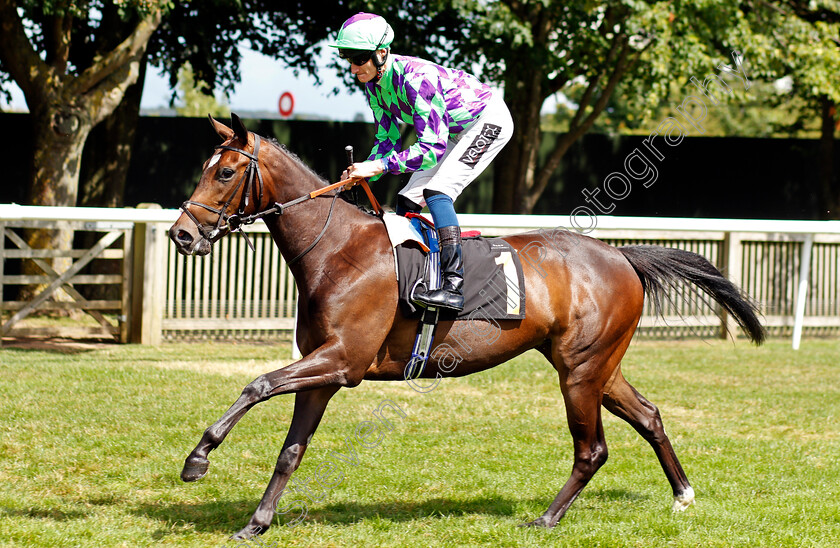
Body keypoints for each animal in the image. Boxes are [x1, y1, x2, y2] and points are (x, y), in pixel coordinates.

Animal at [167, 115, 764, 540]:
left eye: (224, 172)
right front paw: (256, 522)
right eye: (205, 167)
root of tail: (622, 256)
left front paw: (197, 460)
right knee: (648, 415)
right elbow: (291, 449)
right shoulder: (323, 371)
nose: (181, 235)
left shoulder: (342, 361)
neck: (336, 249)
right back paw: (683, 494)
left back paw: (547, 519)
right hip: (597, 366)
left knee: (592, 449)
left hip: (580, 371)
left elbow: (257, 384)